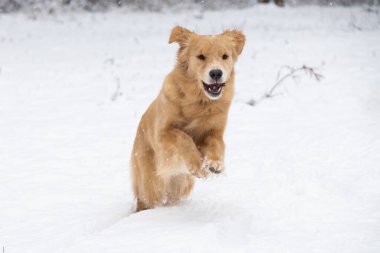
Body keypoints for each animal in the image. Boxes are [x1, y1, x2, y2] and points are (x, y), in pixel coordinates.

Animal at [131, 26, 245, 211]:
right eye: (201, 56)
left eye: (225, 56)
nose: (216, 73)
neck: (199, 101)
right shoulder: (163, 132)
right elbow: (184, 137)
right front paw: (197, 166)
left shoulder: (214, 132)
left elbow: (217, 144)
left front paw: (214, 164)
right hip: (151, 183)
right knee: (146, 200)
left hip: (180, 184)